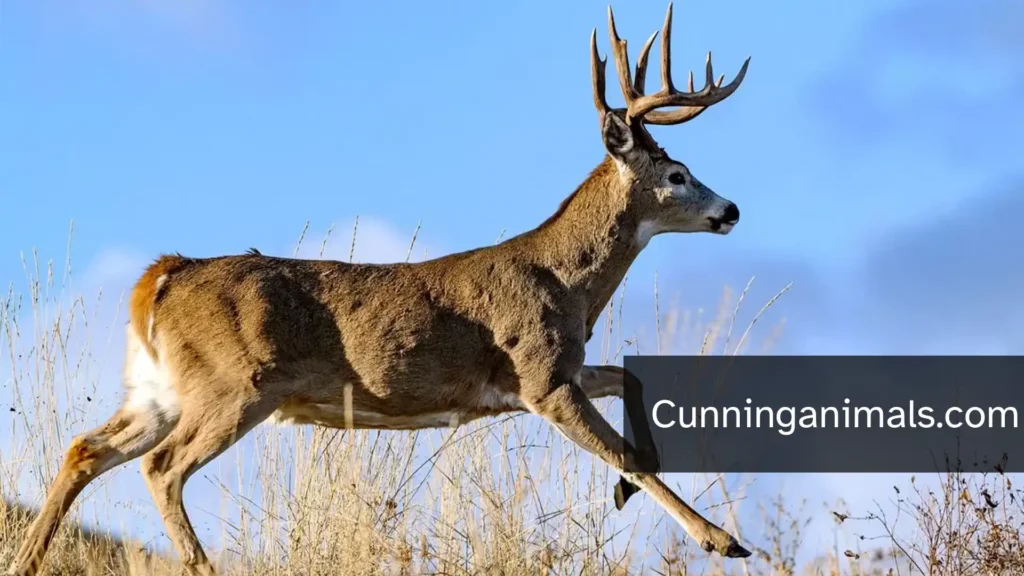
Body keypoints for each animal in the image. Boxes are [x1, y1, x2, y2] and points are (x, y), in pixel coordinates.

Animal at [8, 3, 752, 574]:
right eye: (678, 173)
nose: (732, 210)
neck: (565, 281)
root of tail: (163, 274)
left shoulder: (559, 370)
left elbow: (634, 382)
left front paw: (627, 492)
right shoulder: (539, 375)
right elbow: (623, 445)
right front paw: (721, 538)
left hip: (158, 388)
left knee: (86, 450)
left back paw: (25, 560)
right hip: (232, 385)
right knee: (162, 468)